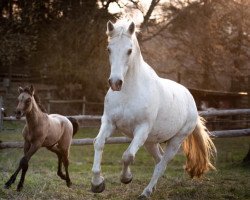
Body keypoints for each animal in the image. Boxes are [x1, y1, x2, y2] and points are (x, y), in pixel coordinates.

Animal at [91, 19, 216, 199]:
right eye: (109, 49)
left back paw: (146, 192)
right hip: (150, 141)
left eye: (129, 50)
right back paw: (153, 188)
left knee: (162, 164)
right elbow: (99, 143)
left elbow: (128, 156)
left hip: (175, 141)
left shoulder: (142, 128)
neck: (129, 92)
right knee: (159, 159)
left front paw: (126, 178)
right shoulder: (109, 122)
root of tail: (190, 99)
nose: (115, 83)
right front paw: (97, 183)